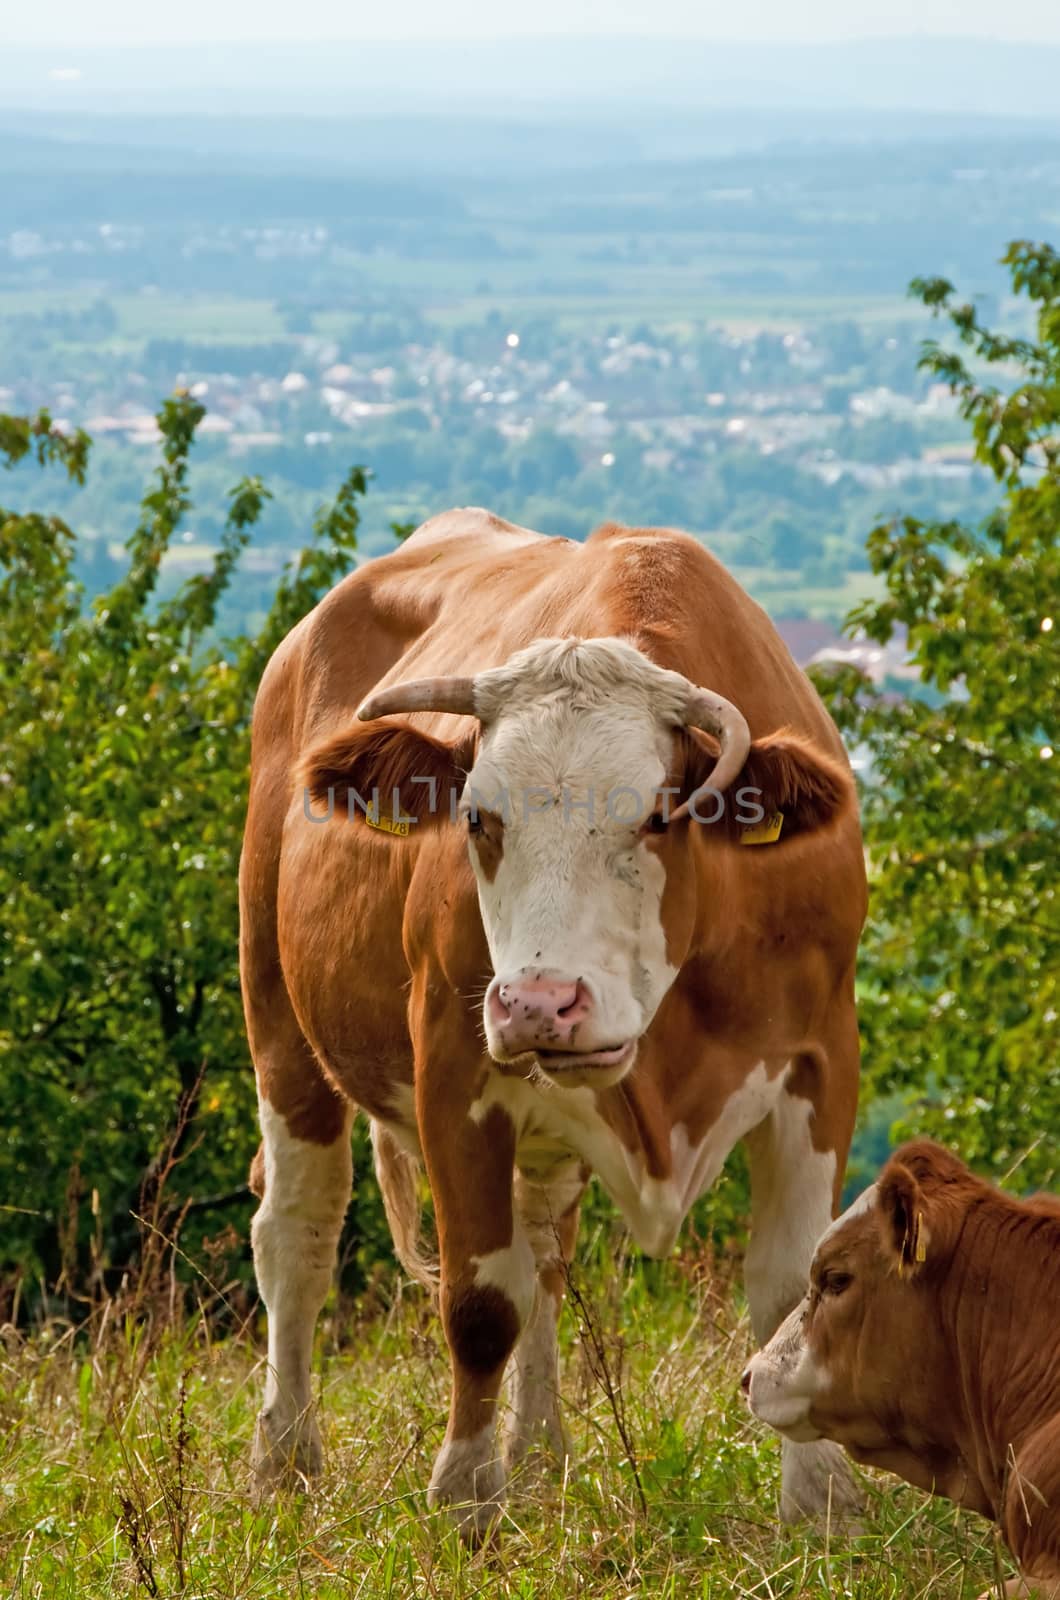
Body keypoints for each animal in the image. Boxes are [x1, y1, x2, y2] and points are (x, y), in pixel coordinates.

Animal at [243, 512, 871, 1536]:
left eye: (658, 816)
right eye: (475, 816)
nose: (539, 1002)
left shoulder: (822, 1058)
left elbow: (792, 1283)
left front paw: (822, 1504)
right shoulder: (455, 1069)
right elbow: (478, 1303)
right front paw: (465, 1497)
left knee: (541, 1250)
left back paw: (541, 1460)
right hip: (280, 1020)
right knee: (297, 1229)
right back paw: (285, 1463)